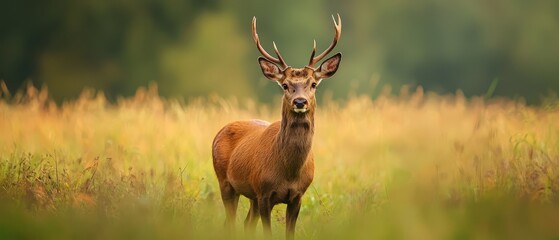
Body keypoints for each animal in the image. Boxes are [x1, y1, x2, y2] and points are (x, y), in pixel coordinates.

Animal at [211, 14, 340, 238]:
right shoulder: (264, 193)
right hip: (225, 182)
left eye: (313, 84)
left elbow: (290, 232)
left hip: (250, 195)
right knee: (231, 222)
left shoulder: (297, 196)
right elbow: (267, 232)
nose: (300, 102)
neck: (289, 171)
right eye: (285, 85)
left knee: (244, 223)